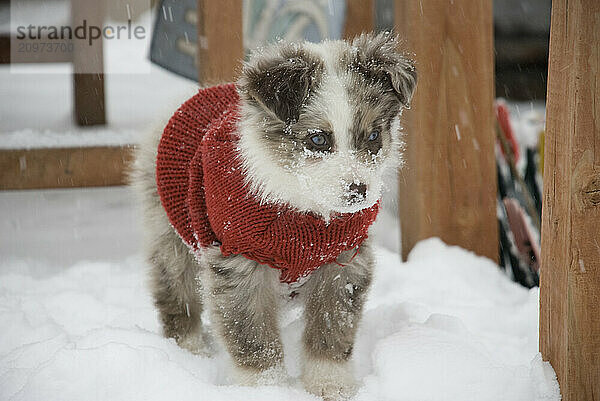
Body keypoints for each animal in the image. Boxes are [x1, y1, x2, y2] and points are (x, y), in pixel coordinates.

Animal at [131, 32, 414, 398]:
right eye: (318, 139)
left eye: (374, 136)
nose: (357, 191)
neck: (303, 210)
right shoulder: (238, 262)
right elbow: (252, 334)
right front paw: (264, 387)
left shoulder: (343, 261)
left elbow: (332, 325)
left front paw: (329, 385)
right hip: (169, 236)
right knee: (177, 294)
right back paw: (190, 350)